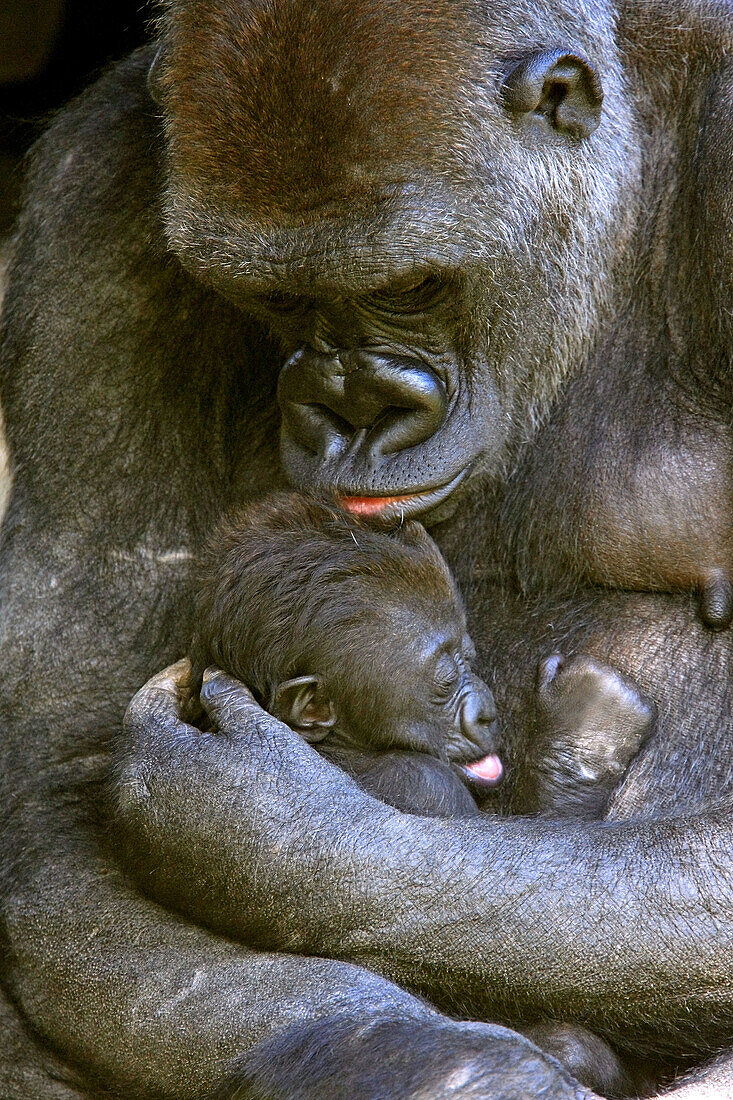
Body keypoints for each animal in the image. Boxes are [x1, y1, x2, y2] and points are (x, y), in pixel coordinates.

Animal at [0, 0, 726, 1095]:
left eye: (413, 286)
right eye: (277, 299)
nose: (355, 415)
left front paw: (262, 830)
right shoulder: (90, 201)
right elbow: (56, 786)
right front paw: (442, 1066)